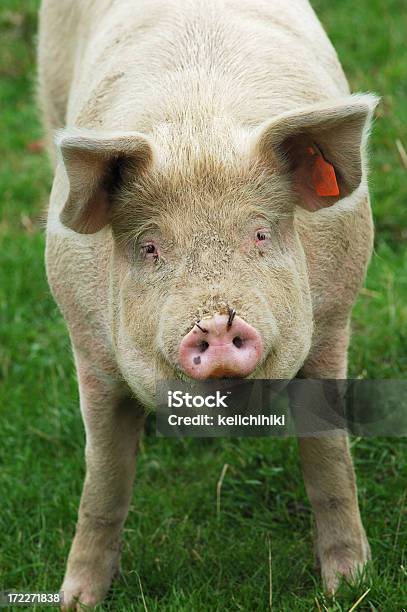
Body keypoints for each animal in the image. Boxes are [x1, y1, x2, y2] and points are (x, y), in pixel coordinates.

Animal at [38, 0, 380, 608]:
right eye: (150, 247)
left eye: (261, 234)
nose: (218, 324)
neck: (200, 134)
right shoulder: (87, 345)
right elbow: (103, 480)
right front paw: (77, 600)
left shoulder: (333, 319)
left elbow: (329, 458)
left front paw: (349, 585)